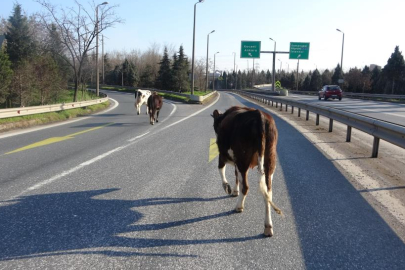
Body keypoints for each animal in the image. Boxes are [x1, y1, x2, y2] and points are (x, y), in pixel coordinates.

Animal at [211, 106, 280, 237]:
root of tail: (260, 116)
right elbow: (236, 175)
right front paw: (234, 191)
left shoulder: (223, 154)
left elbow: (221, 169)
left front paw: (227, 187)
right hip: (270, 160)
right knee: (268, 193)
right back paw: (268, 226)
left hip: (243, 158)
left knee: (246, 186)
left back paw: (239, 207)